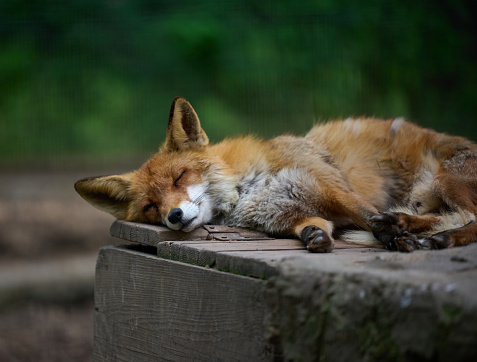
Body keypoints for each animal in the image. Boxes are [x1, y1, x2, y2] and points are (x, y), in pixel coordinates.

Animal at [74, 97, 476, 253]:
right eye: (150, 207)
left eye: (179, 177)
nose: (173, 216)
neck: (248, 191)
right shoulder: (285, 213)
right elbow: (314, 226)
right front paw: (316, 236)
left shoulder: (330, 187)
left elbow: (366, 213)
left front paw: (389, 234)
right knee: (443, 217)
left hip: (444, 179)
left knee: (467, 219)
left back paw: (430, 237)